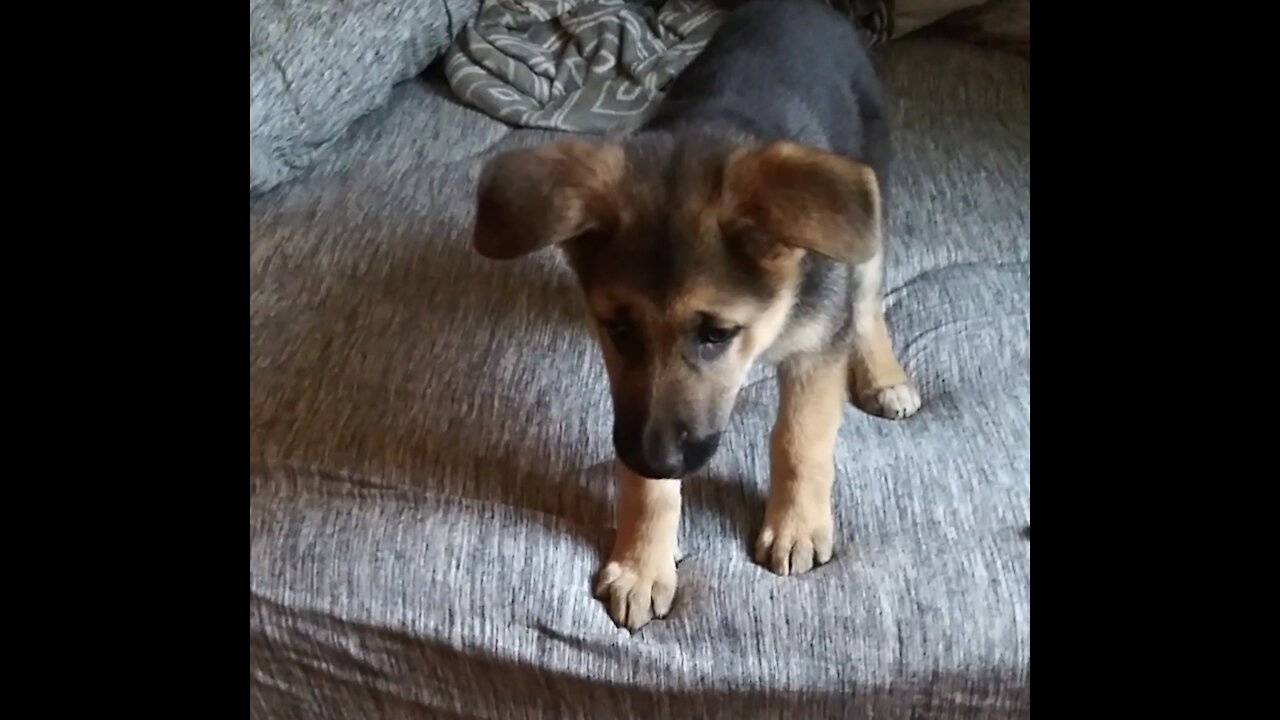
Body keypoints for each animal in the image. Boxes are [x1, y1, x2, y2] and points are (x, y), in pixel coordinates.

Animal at [471, 0, 921, 627]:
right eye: (618, 329)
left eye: (716, 333)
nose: (656, 457)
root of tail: (806, 8)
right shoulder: (636, 409)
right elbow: (646, 481)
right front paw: (642, 561)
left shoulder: (813, 347)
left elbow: (800, 438)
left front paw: (796, 525)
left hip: (867, 203)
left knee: (867, 298)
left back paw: (883, 376)